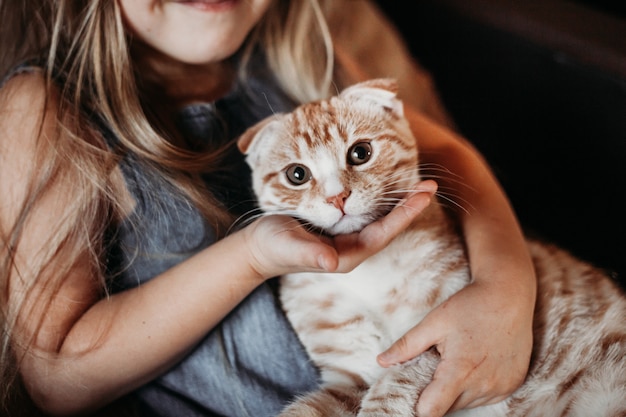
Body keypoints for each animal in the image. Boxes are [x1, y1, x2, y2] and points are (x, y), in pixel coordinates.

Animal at [235, 78, 624, 416]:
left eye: (360, 153)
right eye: (297, 175)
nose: (337, 196)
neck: (366, 273)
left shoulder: (437, 337)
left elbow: (392, 389)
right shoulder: (349, 378)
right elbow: (307, 409)